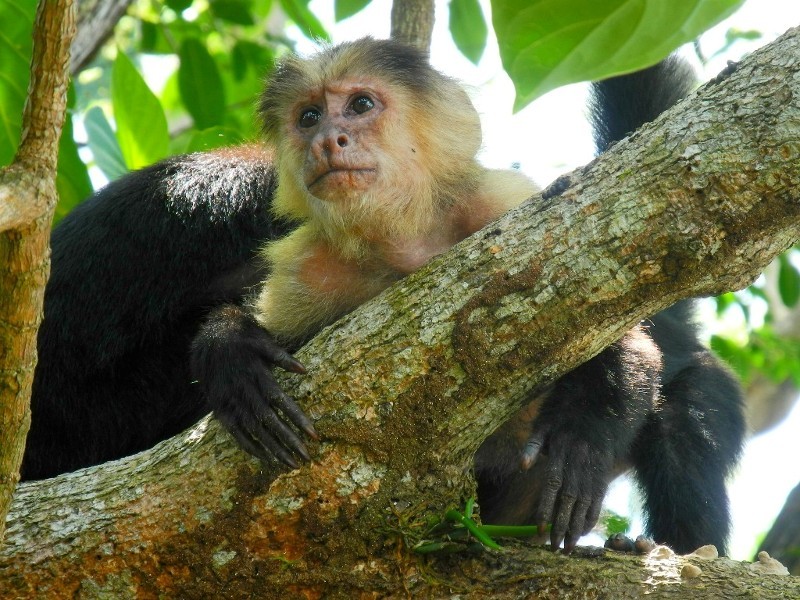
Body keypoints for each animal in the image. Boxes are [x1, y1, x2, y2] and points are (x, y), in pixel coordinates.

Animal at [23, 37, 744, 556]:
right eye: (310, 116)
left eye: (363, 106)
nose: (327, 138)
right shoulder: (258, 242)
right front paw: (231, 354)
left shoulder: (498, 206)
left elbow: (623, 339)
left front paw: (584, 440)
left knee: (685, 400)